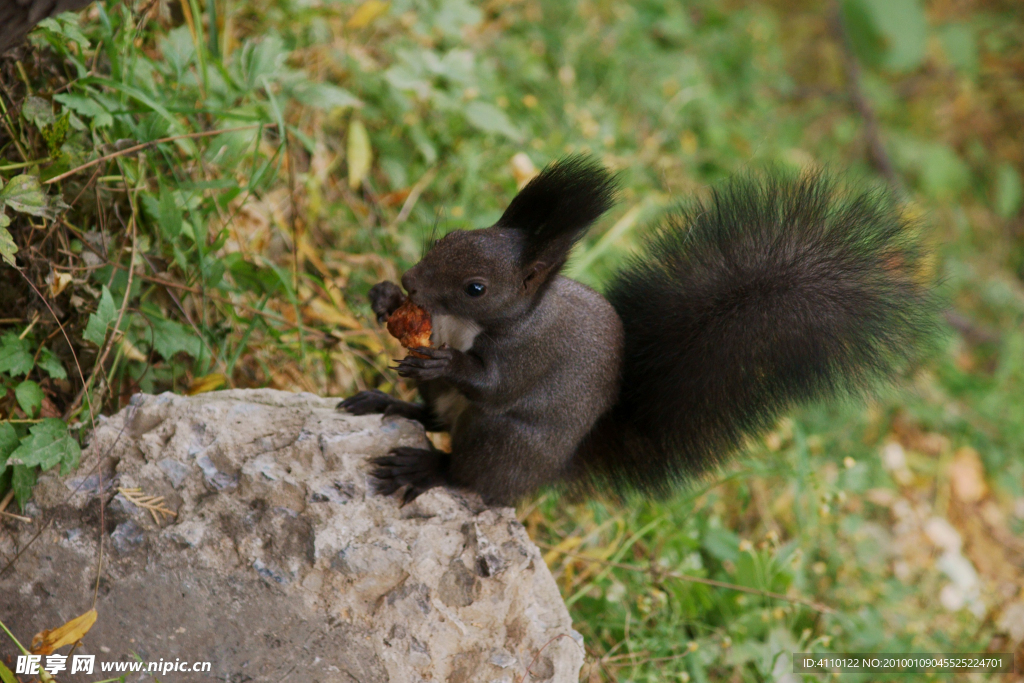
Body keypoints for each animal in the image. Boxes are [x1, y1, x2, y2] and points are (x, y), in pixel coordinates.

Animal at [337, 156, 937, 507]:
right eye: (452, 235)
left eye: (476, 287)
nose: (412, 280)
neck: (473, 325)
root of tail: (548, 472)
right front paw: (385, 298)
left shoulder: (530, 353)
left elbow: (495, 384)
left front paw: (447, 359)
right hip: (453, 413)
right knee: (434, 416)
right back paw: (383, 403)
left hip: (502, 440)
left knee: (472, 476)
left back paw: (427, 467)